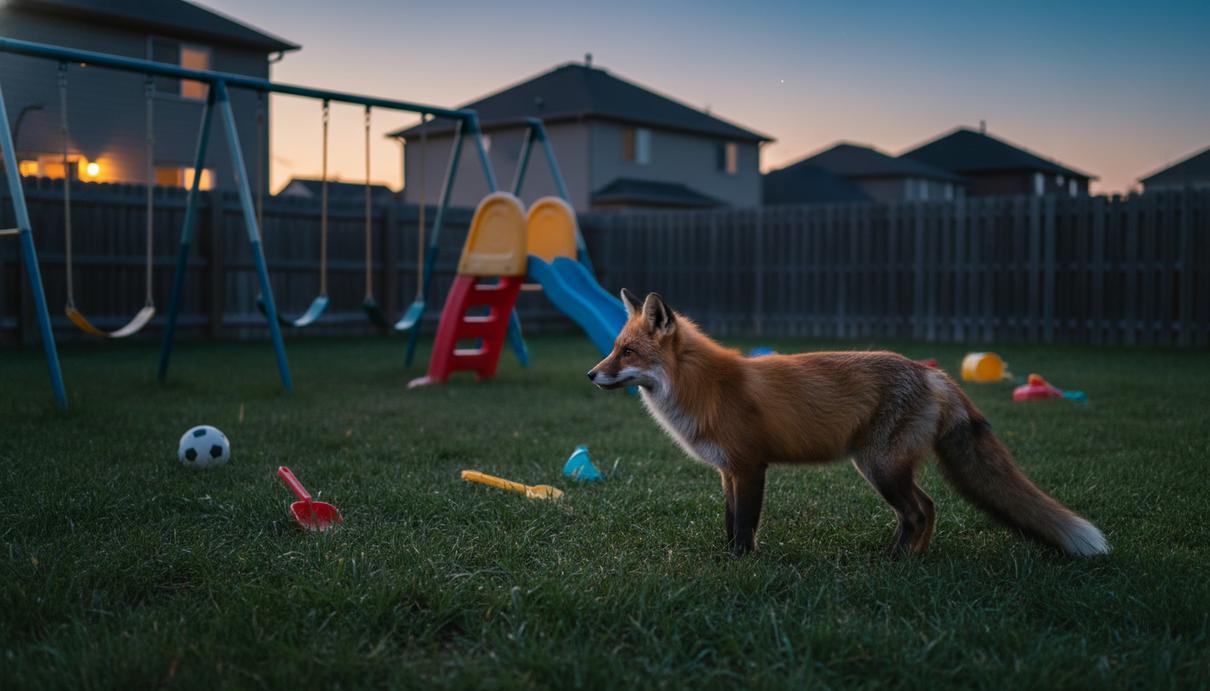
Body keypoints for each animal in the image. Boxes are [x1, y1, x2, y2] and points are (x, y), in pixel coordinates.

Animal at [587, 289, 1109, 558]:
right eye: (614, 348)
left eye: (627, 352)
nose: (591, 375)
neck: (704, 386)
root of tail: (933, 373)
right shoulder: (727, 471)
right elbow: (730, 521)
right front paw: (728, 557)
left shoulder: (750, 467)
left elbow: (745, 526)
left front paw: (740, 565)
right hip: (881, 467)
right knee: (924, 510)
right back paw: (907, 557)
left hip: (880, 467)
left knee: (921, 510)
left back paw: (897, 563)